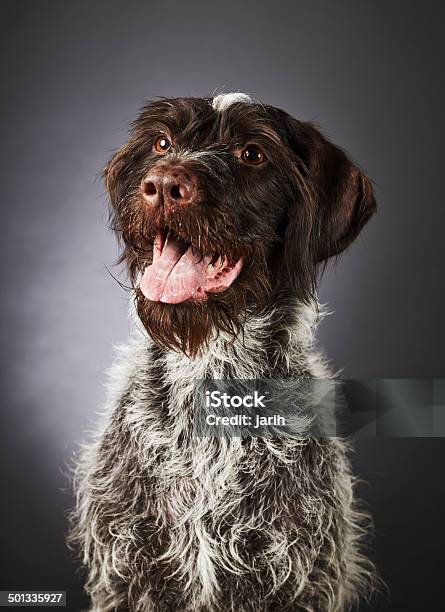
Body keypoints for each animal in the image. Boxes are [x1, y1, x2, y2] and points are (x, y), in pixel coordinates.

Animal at [71, 92, 376, 612]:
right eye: (162, 142)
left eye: (252, 153)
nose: (163, 185)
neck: (212, 373)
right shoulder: (127, 575)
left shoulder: (301, 579)